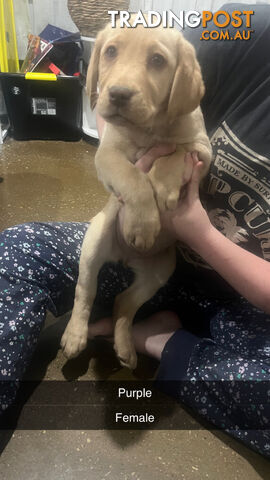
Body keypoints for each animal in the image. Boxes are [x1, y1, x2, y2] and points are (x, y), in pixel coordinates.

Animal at [61, 20, 213, 370]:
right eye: (110, 52)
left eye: (157, 60)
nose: (118, 94)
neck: (149, 128)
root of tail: (125, 257)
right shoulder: (107, 156)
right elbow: (133, 179)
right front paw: (143, 224)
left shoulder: (202, 150)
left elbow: (174, 153)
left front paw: (163, 186)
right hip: (95, 239)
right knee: (85, 291)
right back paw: (76, 336)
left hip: (159, 273)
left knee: (123, 304)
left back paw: (125, 347)